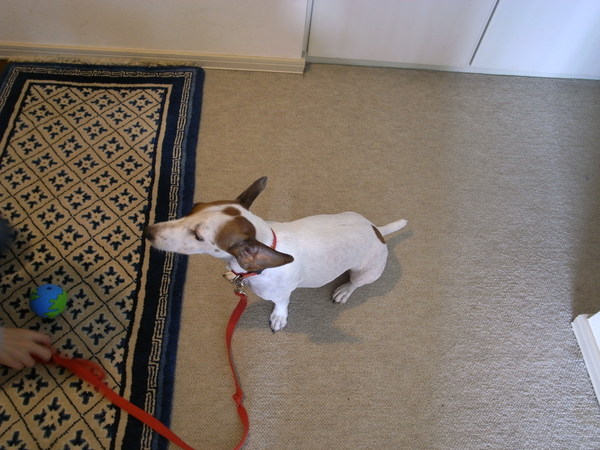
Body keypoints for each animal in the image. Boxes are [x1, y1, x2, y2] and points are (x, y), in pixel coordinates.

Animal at [144, 177, 407, 331]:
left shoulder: (280, 295)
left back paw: (344, 290)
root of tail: (377, 231)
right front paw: (230, 274)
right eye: (194, 206)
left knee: (355, 283)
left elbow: (281, 305)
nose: (147, 231)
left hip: (366, 273)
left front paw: (278, 318)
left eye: (198, 236)